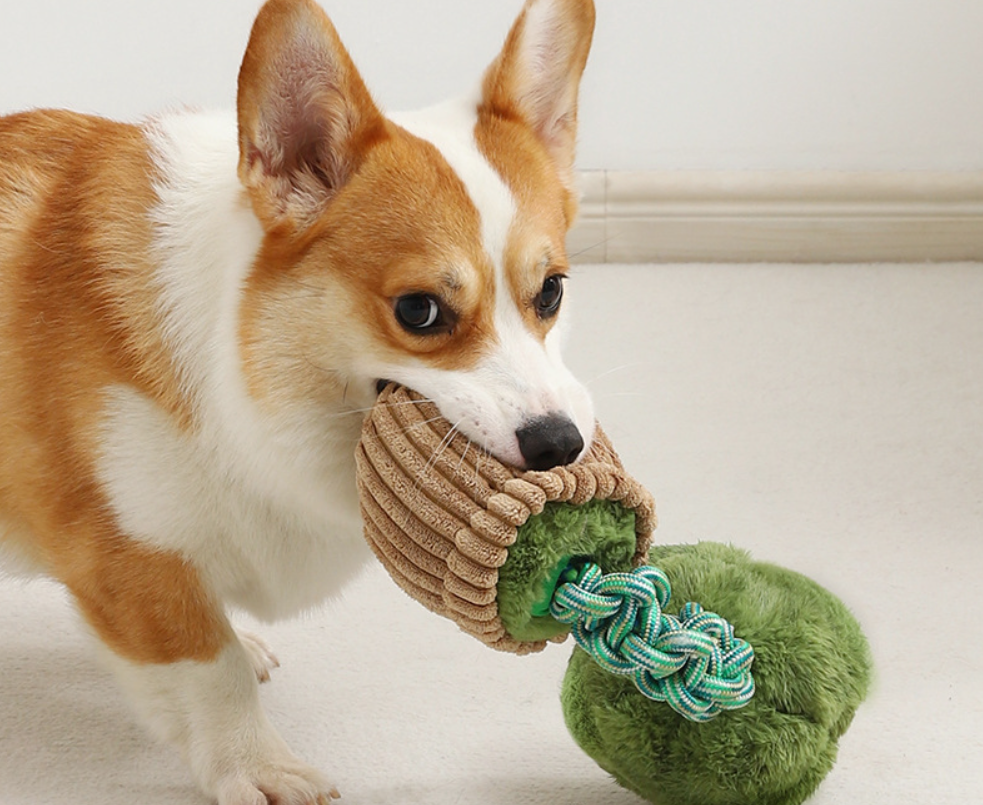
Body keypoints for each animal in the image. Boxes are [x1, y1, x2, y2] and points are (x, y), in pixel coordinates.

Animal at [0, 0, 596, 800]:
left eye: (551, 292)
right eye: (419, 312)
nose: (559, 444)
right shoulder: (127, 555)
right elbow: (210, 666)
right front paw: (256, 765)